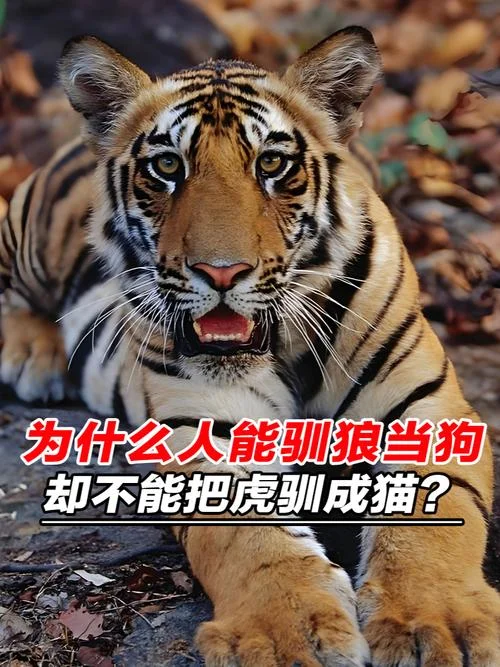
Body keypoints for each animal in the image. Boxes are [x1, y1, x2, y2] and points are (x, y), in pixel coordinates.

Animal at [1, 26, 498, 667]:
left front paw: (434, 626)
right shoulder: (204, 424)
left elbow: (437, 520)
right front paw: (286, 633)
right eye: (167, 165)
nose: (221, 272)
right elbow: (249, 538)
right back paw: (32, 354)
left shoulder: (428, 407)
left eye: (272, 164)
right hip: (35, 236)